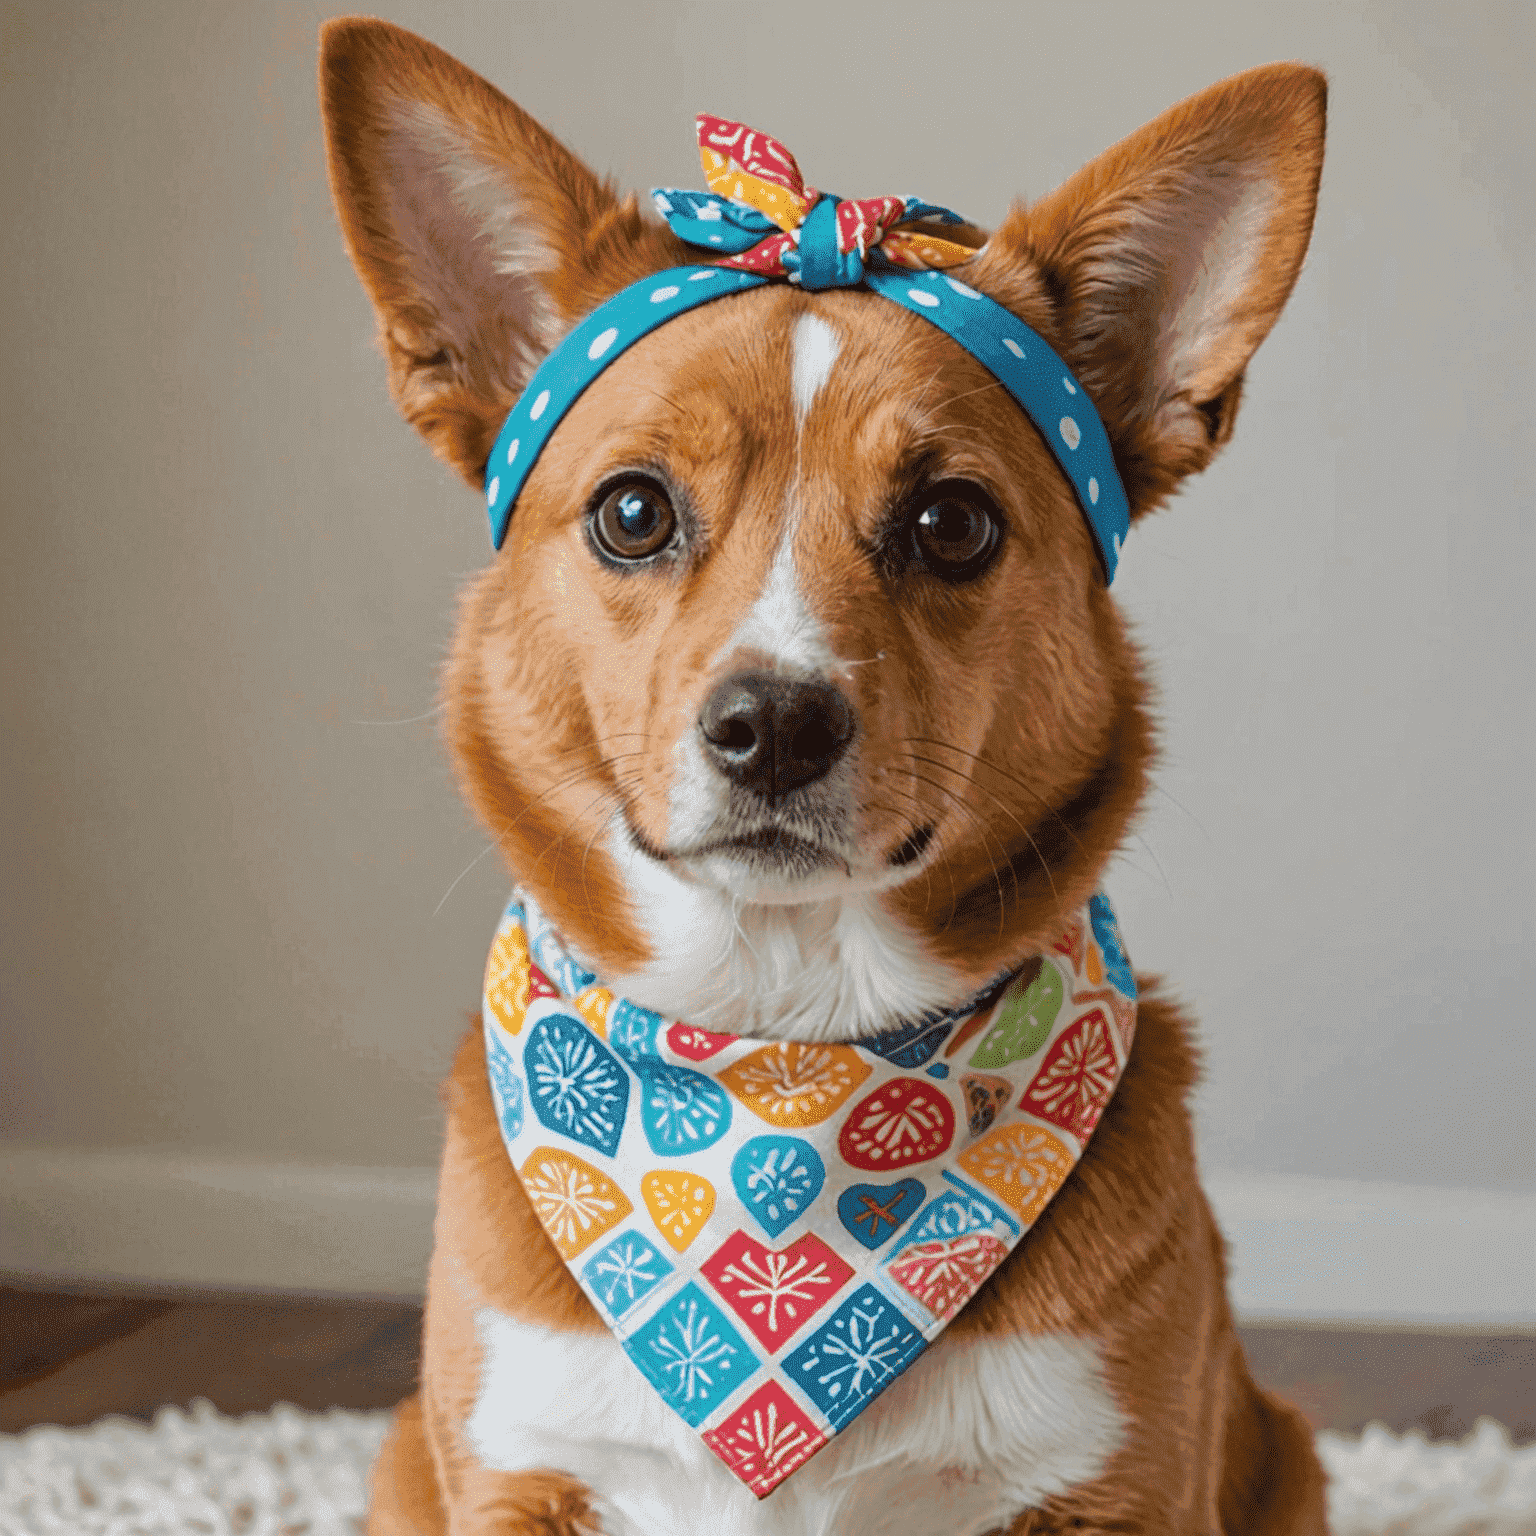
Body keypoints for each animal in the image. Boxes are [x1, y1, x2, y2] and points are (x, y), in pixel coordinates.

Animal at [321, 21, 1333, 1536]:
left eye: (952, 523)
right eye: (632, 511)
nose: (777, 725)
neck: (779, 1057)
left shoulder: (1116, 1491)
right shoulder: (518, 1477)